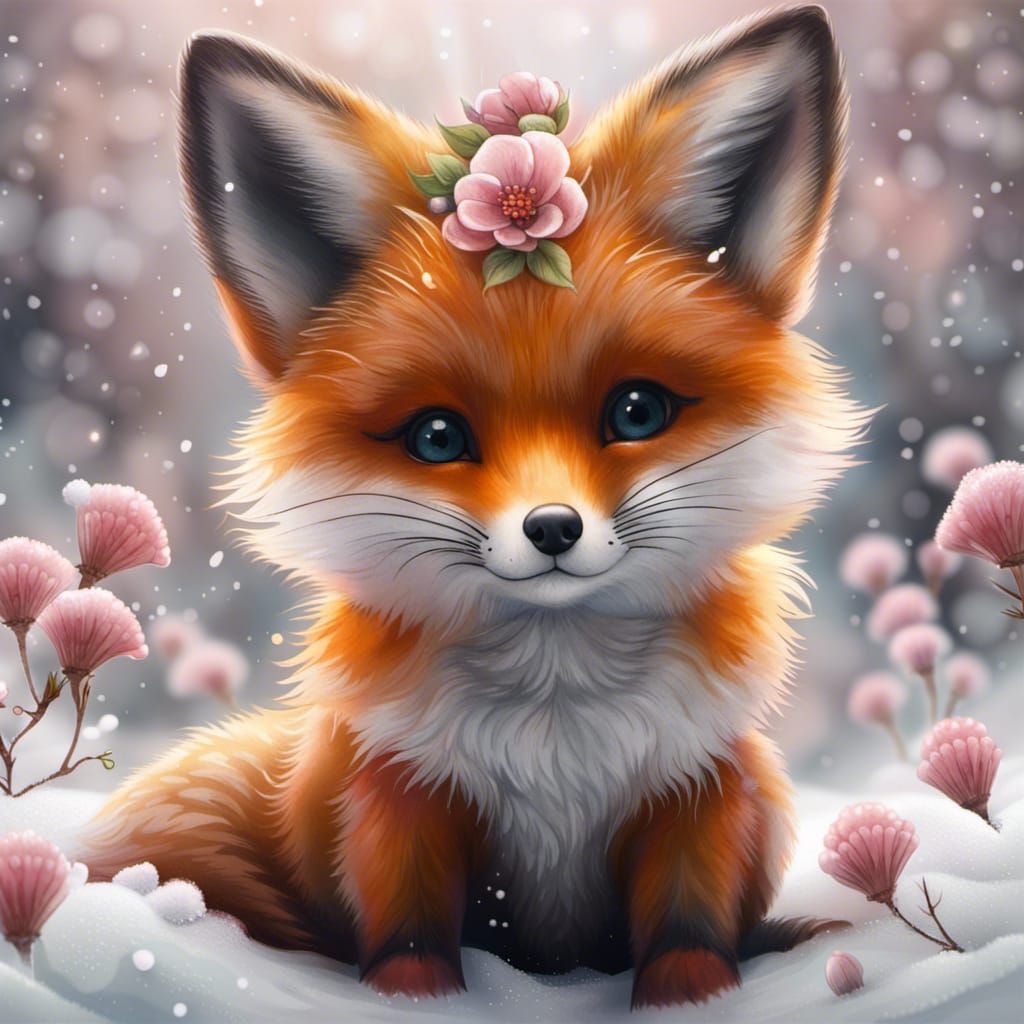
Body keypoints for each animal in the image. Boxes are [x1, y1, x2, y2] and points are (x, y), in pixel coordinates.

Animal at [79, 5, 865, 1010]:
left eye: (637, 411)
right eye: (437, 437)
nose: (553, 528)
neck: (558, 724)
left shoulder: (701, 784)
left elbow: (686, 932)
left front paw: (696, 998)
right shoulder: (399, 792)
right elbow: (412, 939)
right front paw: (415, 1001)